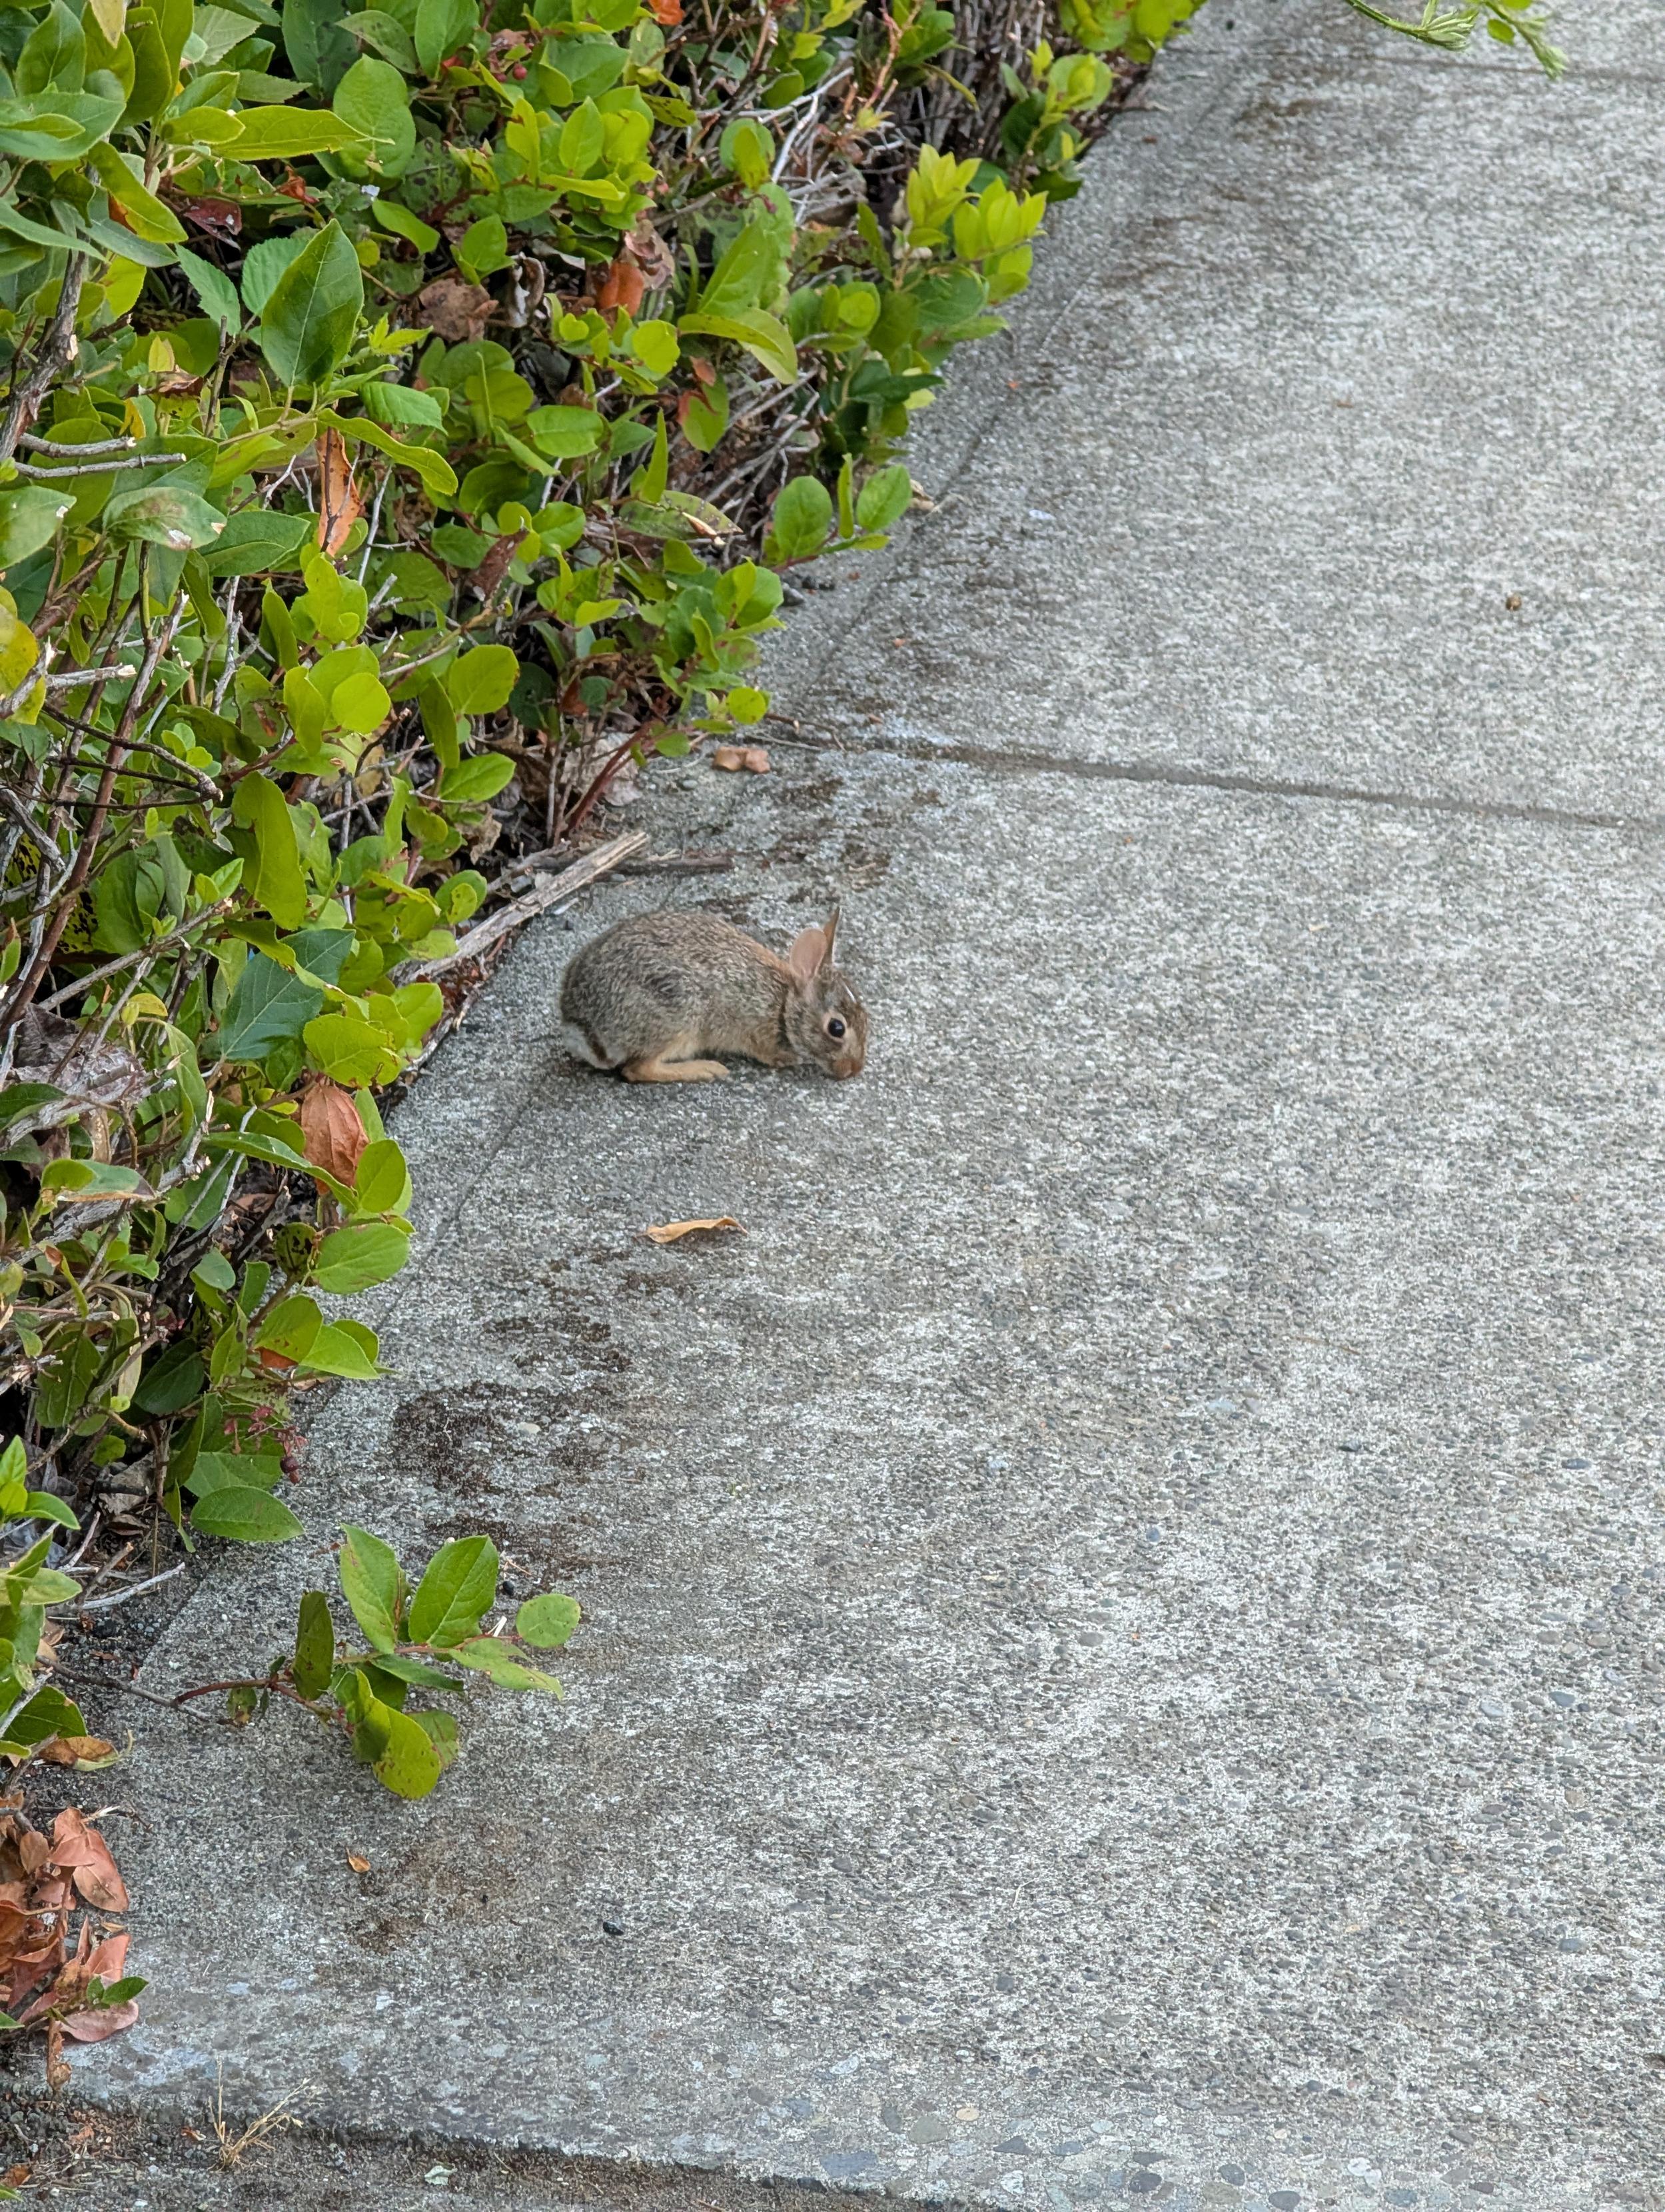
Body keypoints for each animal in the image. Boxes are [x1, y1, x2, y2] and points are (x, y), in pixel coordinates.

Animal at [560, 906, 867, 1083]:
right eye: (836, 1028)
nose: (854, 1069)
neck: (783, 1006)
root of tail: (582, 1026)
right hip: (679, 1018)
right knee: (638, 1069)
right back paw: (706, 1069)